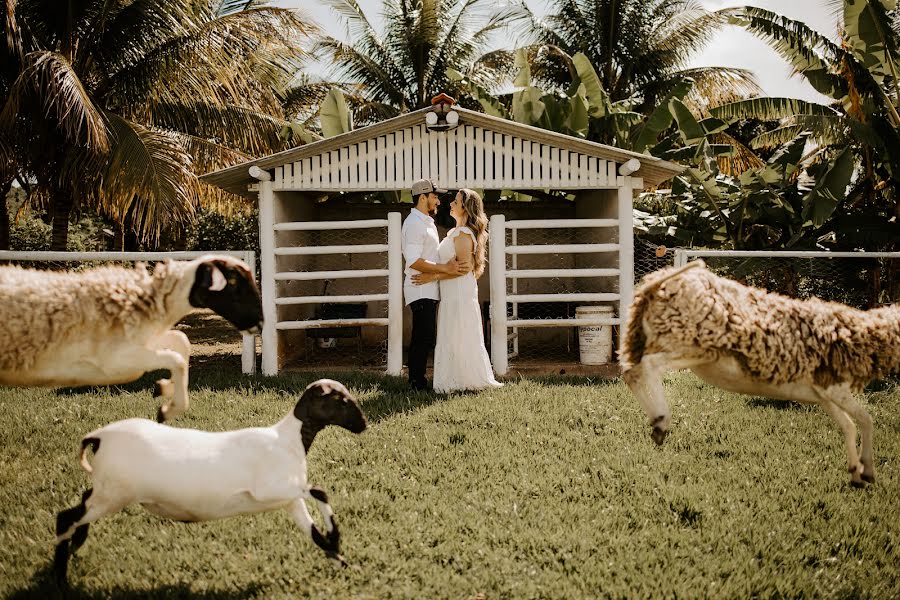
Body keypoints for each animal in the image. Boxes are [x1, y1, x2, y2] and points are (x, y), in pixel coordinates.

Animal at [0, 254, 260, 422]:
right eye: (233, 282)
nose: (260, 322)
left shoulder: (142, 342)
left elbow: (181, 342)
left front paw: (165, 388)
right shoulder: (117, 362)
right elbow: (176, 358)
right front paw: (168, 408)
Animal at [53, 378, 366, 584]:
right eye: (340, 400)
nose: (363, 425)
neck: (288, 440)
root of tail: (98, 437)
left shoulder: (289, 499)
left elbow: (314, 533)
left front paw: (342, 559)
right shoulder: (270, 490)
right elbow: (321, 491)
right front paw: (337, 539)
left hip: (106, 490)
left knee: (80, 505)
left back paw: (75, 545)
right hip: (114, 494)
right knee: (66, 516)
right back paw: (60, 576)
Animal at [620, 262, 900, 488]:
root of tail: (656, 284)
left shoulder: (823, 394)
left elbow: (848, 426)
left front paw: (855, 472)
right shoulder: (835, 388)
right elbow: (866, 420)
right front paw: (868, 470)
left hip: (670, 343)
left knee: (631, 371)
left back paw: (655, 423)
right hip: (693, 345)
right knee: (648, 368)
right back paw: (661, 420)